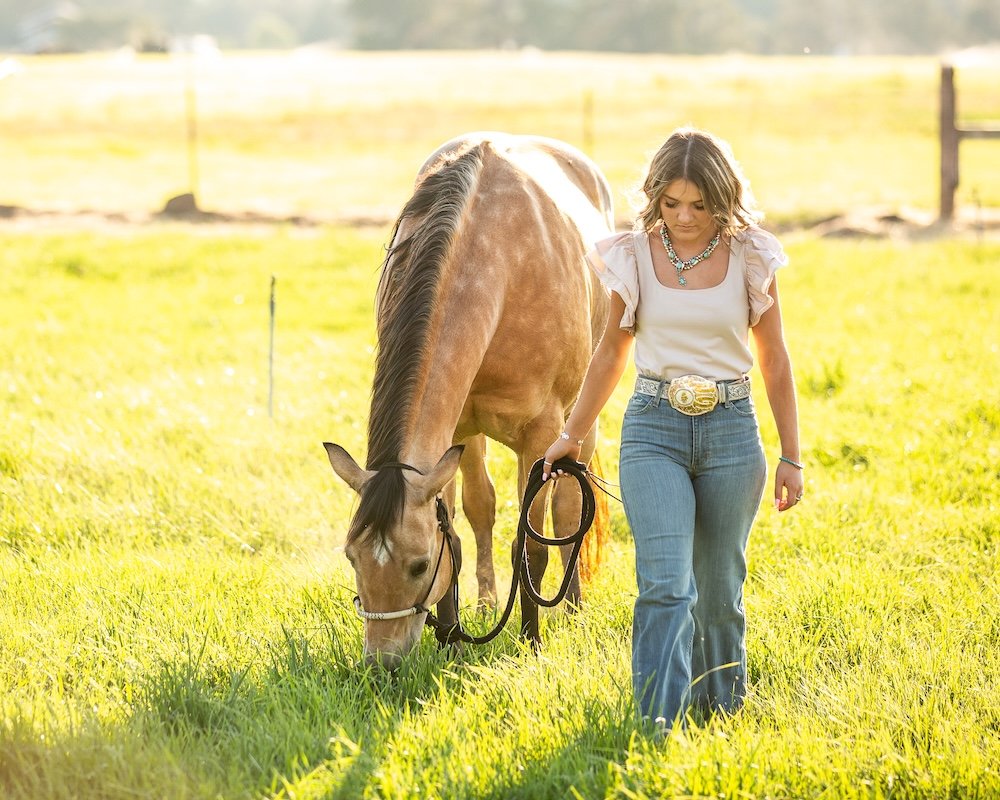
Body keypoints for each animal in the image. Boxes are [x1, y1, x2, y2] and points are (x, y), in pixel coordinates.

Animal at [324, 132, 613, 668]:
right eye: (352, 556)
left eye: (418, 566)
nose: (381, 664)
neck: (497, 264)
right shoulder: (452, 434)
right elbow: (458, 532)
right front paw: (454, 641)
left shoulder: (541, 439)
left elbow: (533, 547)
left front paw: (531, 642)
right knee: (483, 508)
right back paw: (484, 604)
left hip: (583, 420)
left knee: (568, 511)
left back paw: (574, 608)